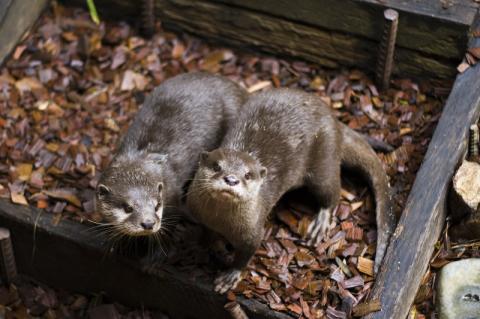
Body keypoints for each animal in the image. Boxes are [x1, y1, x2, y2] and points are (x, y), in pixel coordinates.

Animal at [186, 88, 396, 296]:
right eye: (216, 166)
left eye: (247, 175)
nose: (231, 179)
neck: (220, 221)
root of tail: (333, 119)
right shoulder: (200, 216)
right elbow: (206, 233)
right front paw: (208, 247)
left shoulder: (253, 232)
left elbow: (245, 256)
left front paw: (230, 276)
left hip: (324, 159)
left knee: (332, 192)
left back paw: (320, 224)